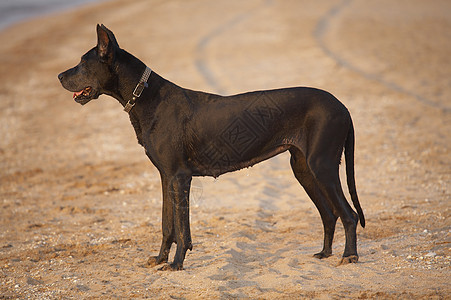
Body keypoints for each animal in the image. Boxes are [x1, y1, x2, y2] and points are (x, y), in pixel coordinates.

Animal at [58, 24, 366, 270]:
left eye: (82, 63)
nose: (60, 76)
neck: (144, 95)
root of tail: (343, 107)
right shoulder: (166, 176)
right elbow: (167, 223)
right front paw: (160, 259)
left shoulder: (180, 176)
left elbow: (182, 228)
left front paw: (177, 263)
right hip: (303, 168)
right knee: (329, 214)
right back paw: (325, 253)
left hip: (322, 166)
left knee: (349, 214)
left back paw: (349, 256)